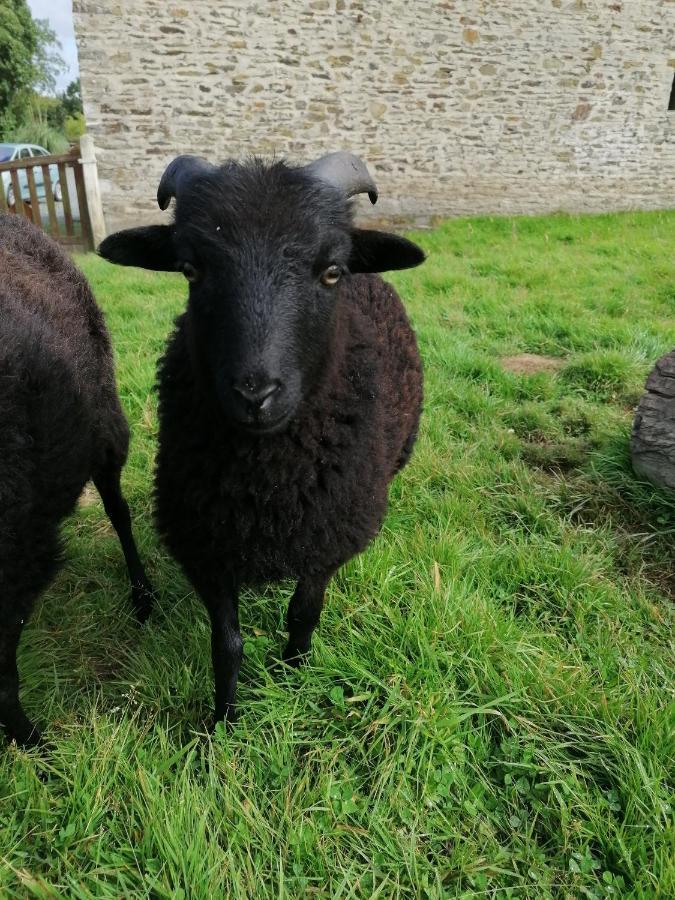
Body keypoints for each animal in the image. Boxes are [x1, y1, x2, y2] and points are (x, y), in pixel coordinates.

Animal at [100, 155, 426, 728]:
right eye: (190, 269)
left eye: (331, 270)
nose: (256, 394)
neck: (267, 481)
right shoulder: (206, 545)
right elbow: (226, 645)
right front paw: (222, 725)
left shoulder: (326, 538)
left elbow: (303, 615)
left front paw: (293, 680)